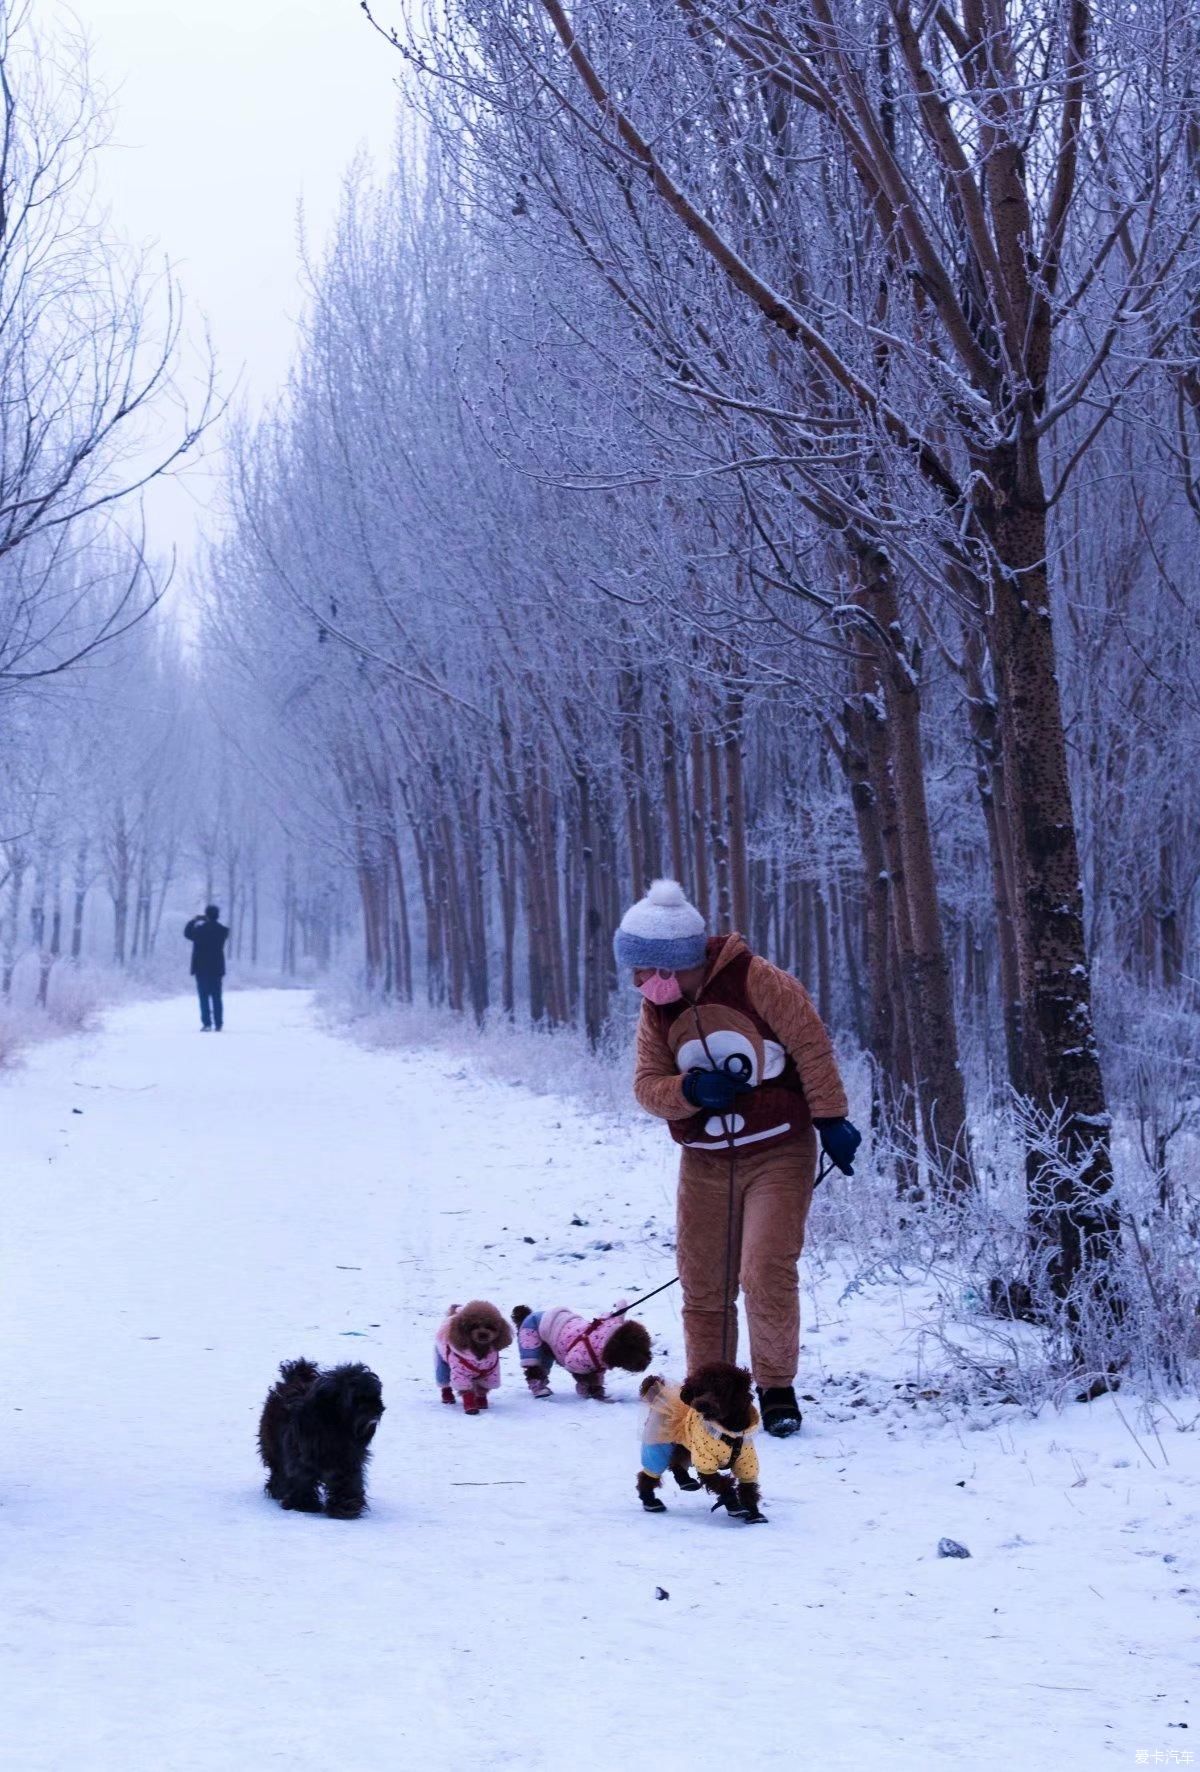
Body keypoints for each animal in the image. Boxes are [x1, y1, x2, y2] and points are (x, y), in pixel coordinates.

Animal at [257, 1360, 384, 1516]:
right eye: (356, 1398)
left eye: (375, 1395)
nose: (378, 1409)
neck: (335, 1425)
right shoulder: (301, 1459)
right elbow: (301, 1478)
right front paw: (303, 1504)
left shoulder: (348, 1461)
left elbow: (347, 1481)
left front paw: (346, 1505)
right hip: (272, 1446)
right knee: (278, 1469)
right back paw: (277, 1489)